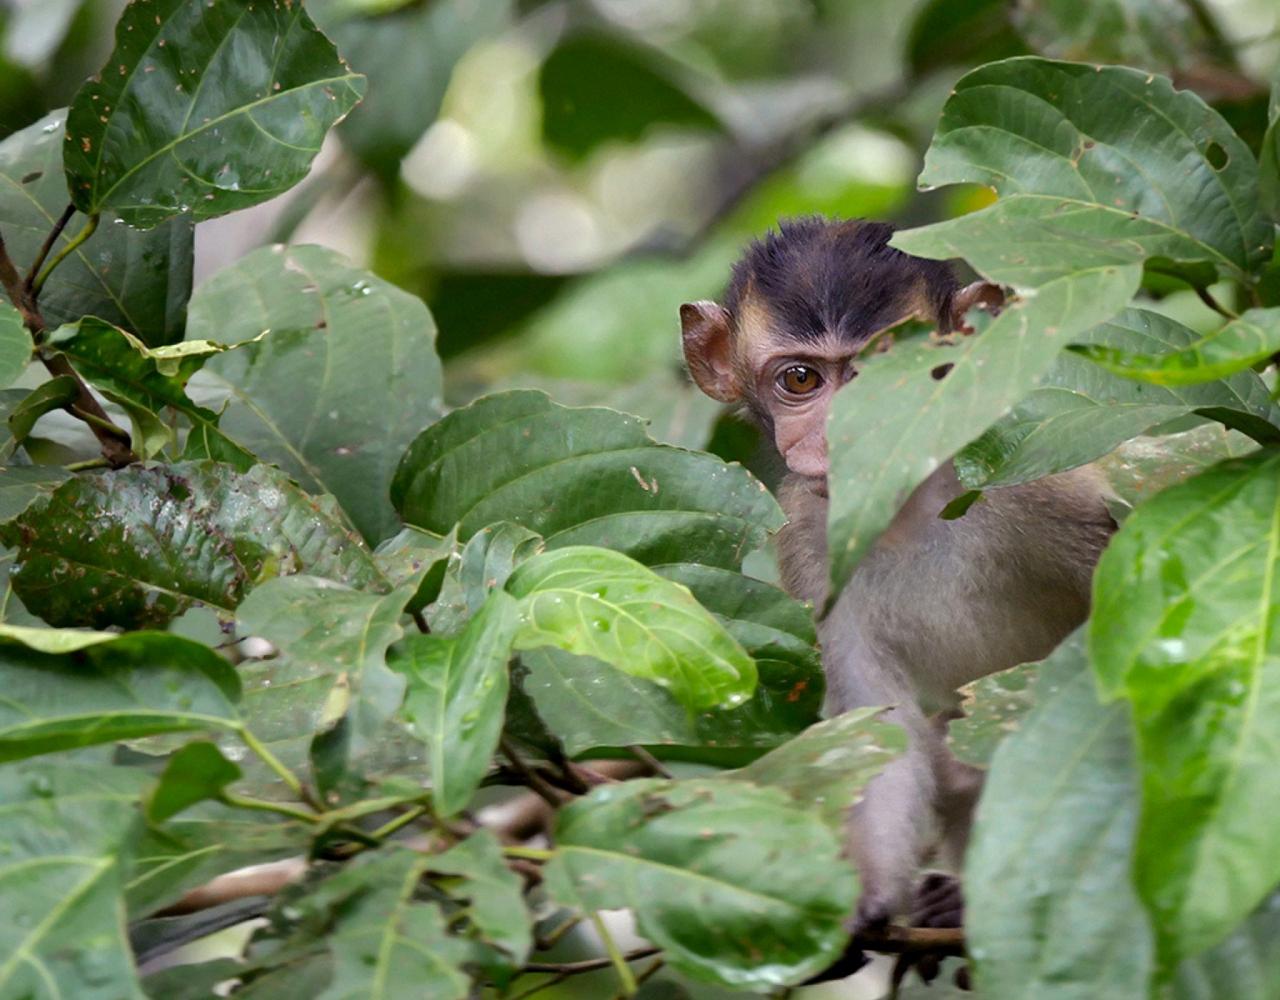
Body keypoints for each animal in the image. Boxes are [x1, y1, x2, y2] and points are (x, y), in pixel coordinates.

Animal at [680, 216, 1111, 937]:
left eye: (888, 366)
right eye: (802, 379)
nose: (847, 434)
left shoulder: (1036, 477)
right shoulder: (810, 543)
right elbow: (876, 723)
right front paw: (865, 900)